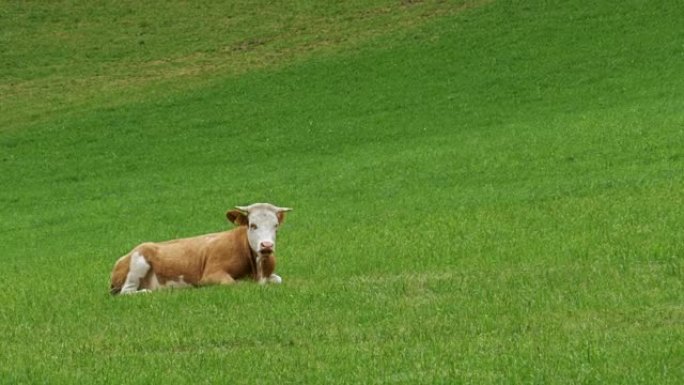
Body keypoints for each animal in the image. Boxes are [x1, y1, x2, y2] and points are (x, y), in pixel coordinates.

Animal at [109, 202, 292, 296]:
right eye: (253, 225)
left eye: (276, 226)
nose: (266, 245)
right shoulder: (211, 274)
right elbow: (233, 283)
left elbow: (278, 279)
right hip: (138, 262)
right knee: (126, 291)